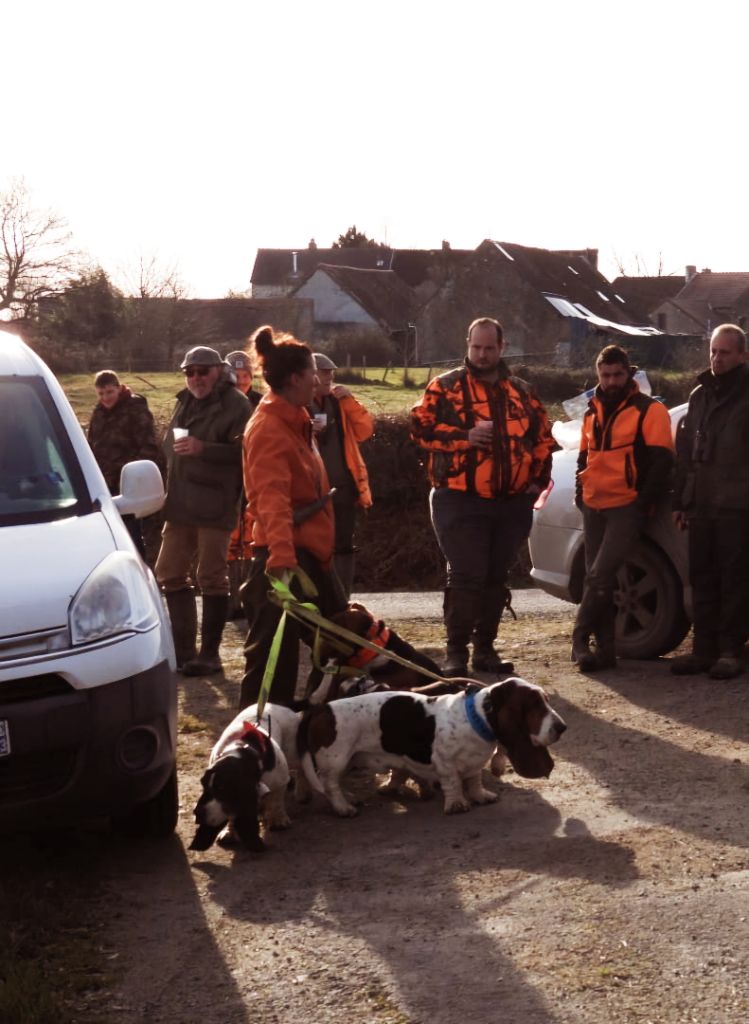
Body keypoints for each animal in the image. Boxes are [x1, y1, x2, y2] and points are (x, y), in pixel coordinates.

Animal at [295, 679, 565, 815]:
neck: (475, 717)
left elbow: (474, 781)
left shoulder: (473, 764)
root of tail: (321, 708)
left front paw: (480, 796)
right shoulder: (445, 762)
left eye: (547, 701)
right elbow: (453, 782)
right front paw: (457, 805)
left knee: (333, 784)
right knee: (330, 784)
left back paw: (349, 799)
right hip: (336, 759)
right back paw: (344, 807)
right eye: (535, 705)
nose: (562, 727)